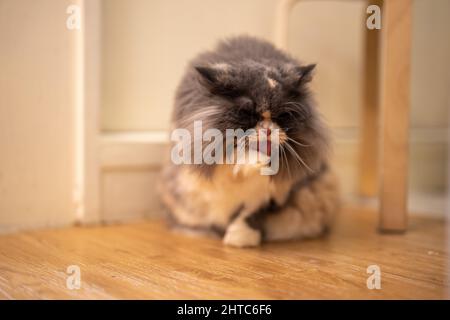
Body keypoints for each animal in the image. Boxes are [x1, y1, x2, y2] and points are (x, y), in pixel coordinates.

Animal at [160, 35, 340, 248]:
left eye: (283, 116)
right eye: (247, 113)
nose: (268, 131)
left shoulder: (271, 195)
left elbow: (251, 214)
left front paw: (240, 239)